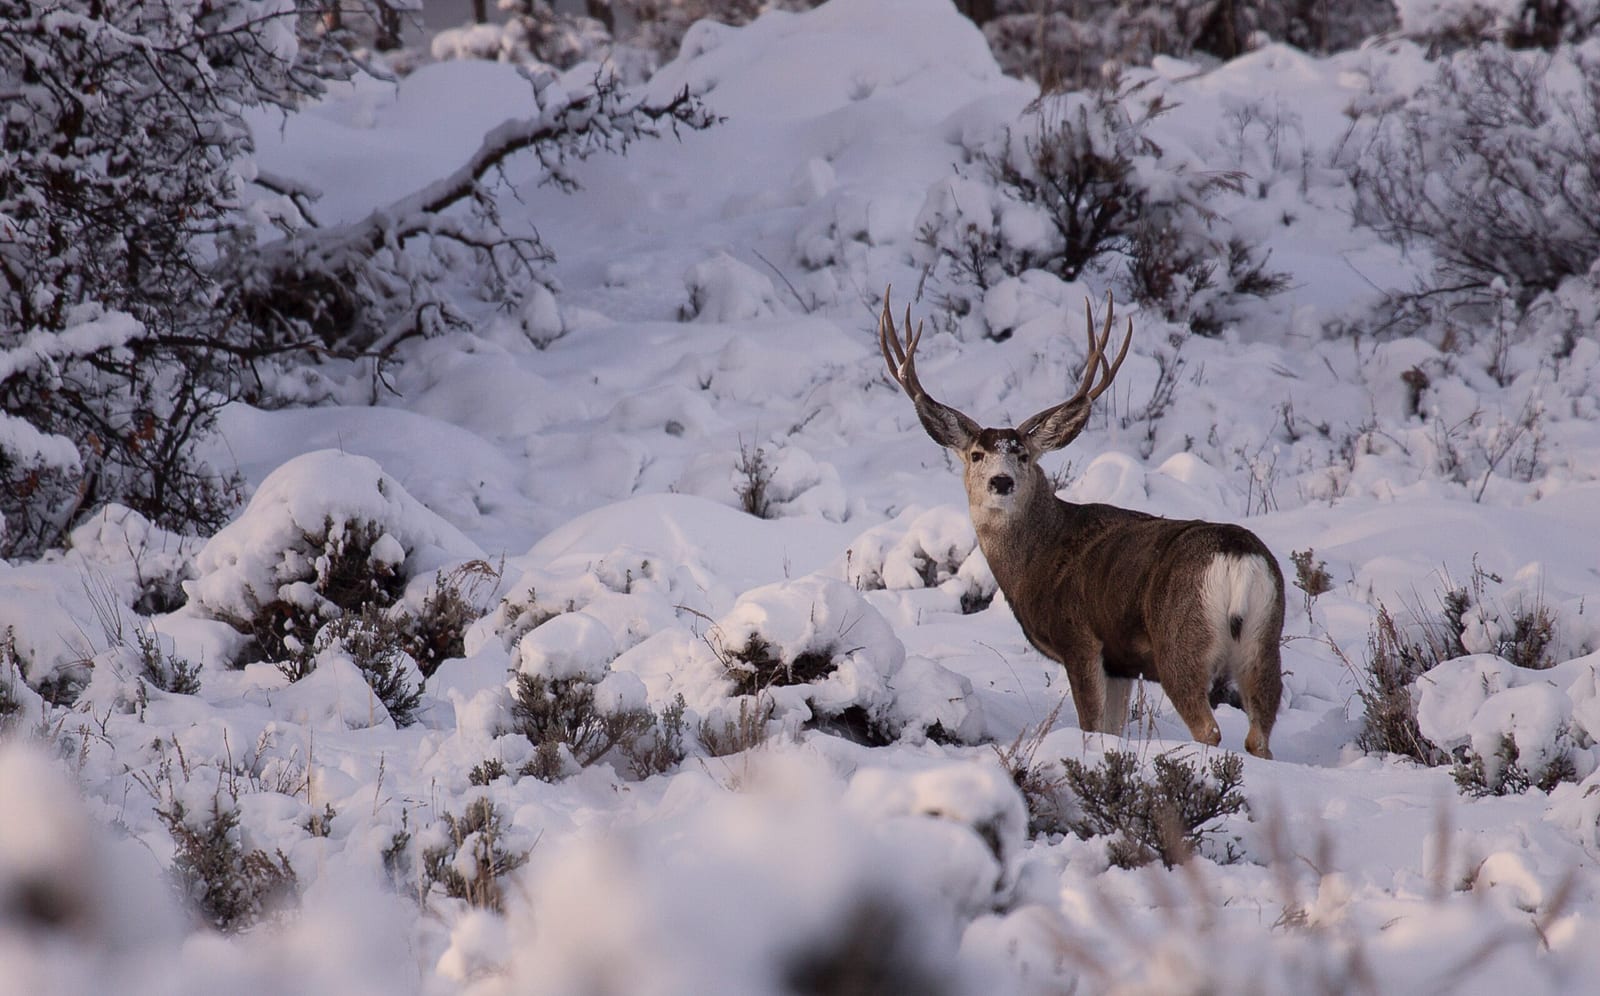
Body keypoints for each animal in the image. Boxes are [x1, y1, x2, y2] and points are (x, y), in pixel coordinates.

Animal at [878, 289, 1285, 759]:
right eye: (977, 455)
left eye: (1023, 455)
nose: (1001, 481)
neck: (1038, 556)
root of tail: (1236, 556)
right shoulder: (1120, 663)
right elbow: (1113, 729)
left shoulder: (1080, 639)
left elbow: (1092, 725)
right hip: (1264, 641)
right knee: (1259, 736)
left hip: (1181, 640)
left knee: (1209, 728)